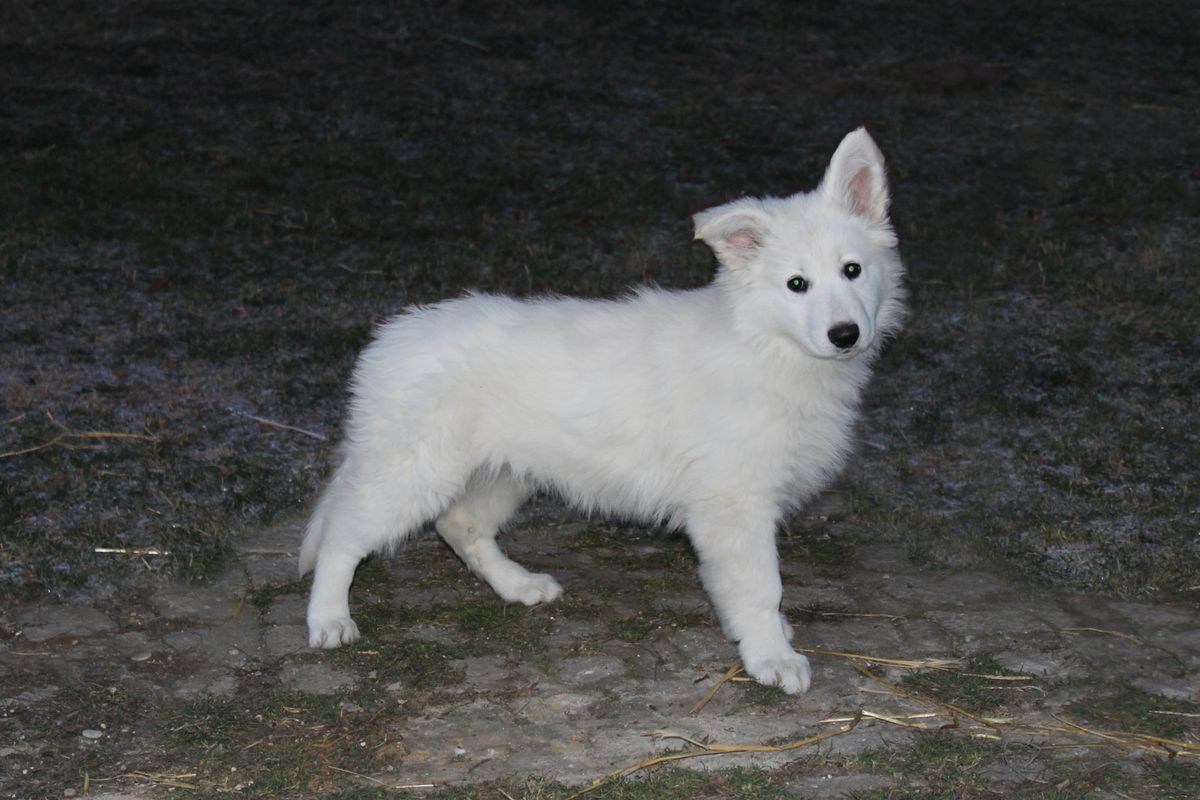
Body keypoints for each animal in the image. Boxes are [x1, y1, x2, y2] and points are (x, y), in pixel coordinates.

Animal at [300, 128, 902, 690]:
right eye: (796, 285)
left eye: (852, 270)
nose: (846, 335)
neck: (765, 343)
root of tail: (392, 337)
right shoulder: (735, 504)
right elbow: (760, 586)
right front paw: (772, 658)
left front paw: (771, 638)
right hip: (412, 471)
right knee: (343, 536)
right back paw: (328, 619)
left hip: (503, 471)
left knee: (458, 524)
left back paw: (519, 585)